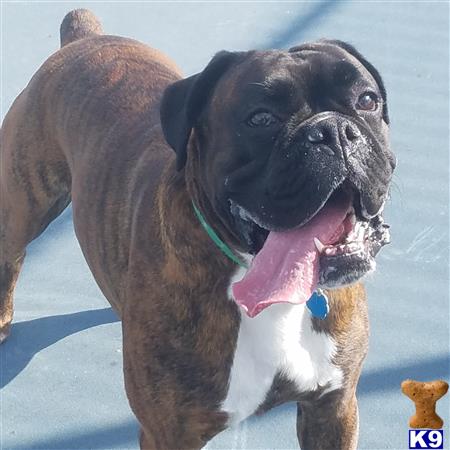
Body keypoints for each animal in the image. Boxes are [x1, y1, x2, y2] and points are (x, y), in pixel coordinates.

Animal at [0, 7, 394, 450]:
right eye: (260, 118)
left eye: (367, 100)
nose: (333, 130)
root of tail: (83, 38)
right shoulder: (169, 432)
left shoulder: (333, 407)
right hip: (25, 205)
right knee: (11, 256)